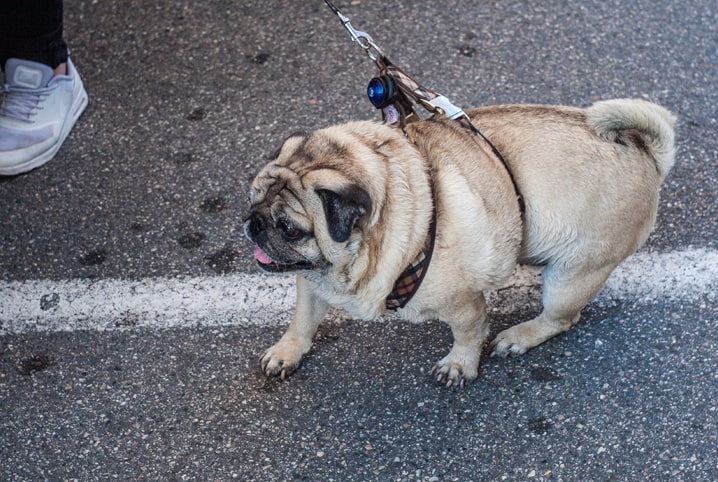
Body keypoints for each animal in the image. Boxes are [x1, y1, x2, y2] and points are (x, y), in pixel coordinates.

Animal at [245, 99, 676, 388]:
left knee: (562, 318)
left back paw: (519, 337)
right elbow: (302, 319)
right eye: (252, 198)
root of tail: (646, 154)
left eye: (289, 228)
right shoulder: (311, 280)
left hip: (573, 275)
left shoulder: (462, 303)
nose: (255, 225)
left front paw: (459, 364)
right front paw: (287, 351)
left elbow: (469, 333)